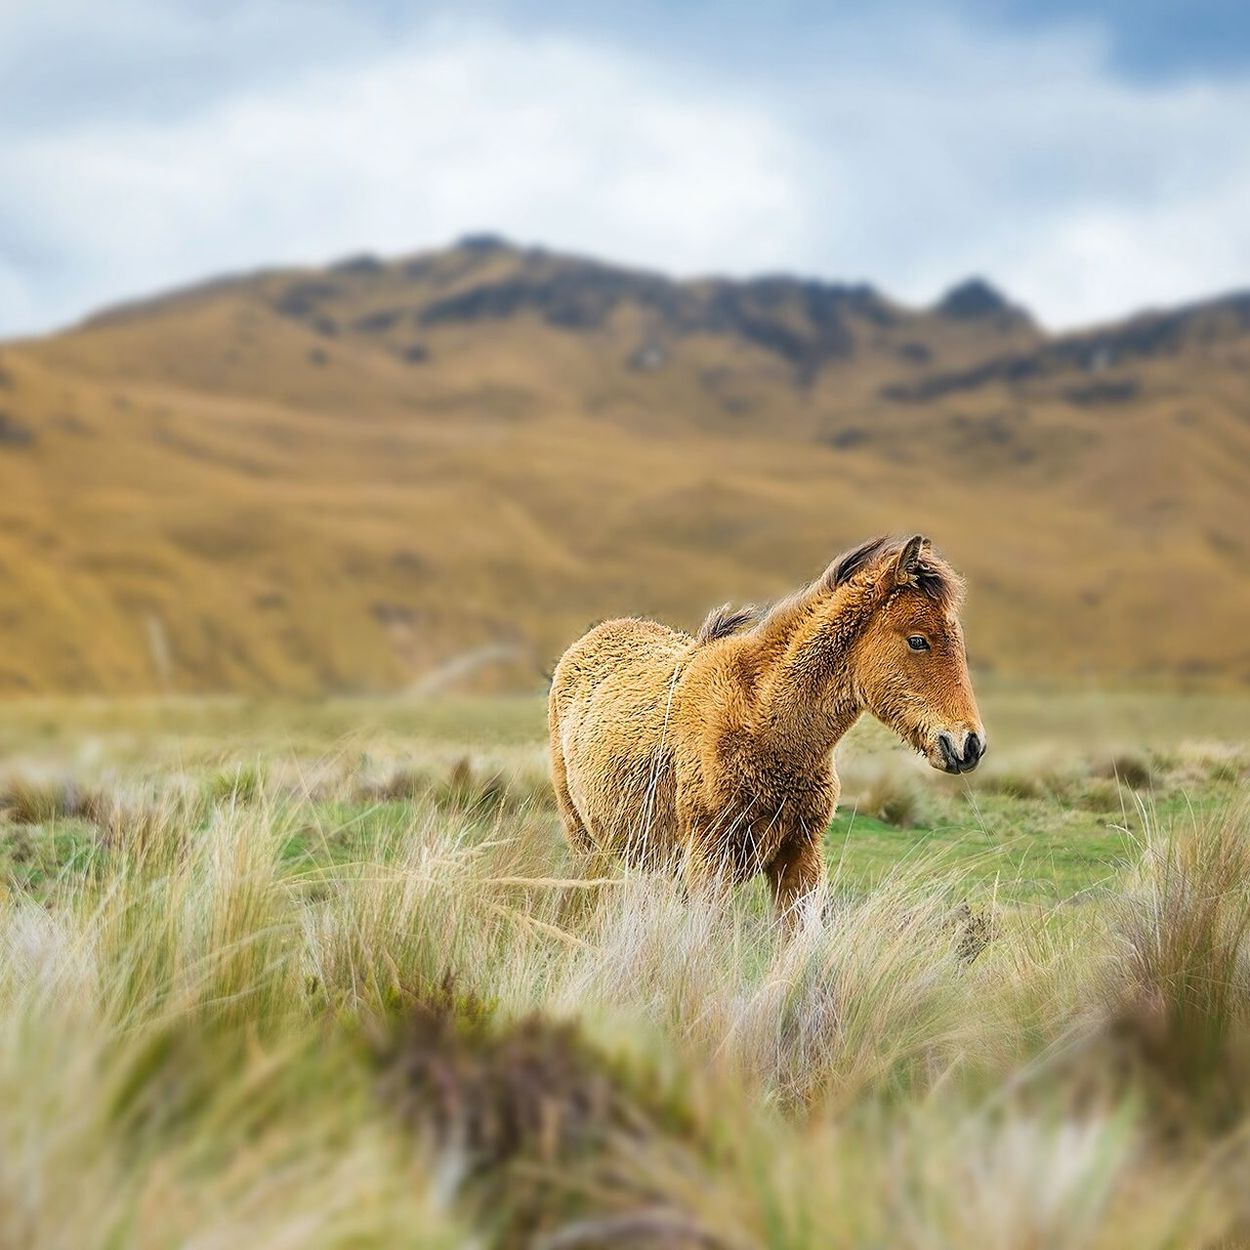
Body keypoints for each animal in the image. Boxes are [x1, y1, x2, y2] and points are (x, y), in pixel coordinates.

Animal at [547, 532, 985, 925]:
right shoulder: (709, 862)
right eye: (918, 640)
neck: (761, 725)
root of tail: (593, 637)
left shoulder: (800, 859)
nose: (969, 745)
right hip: (586, 845)